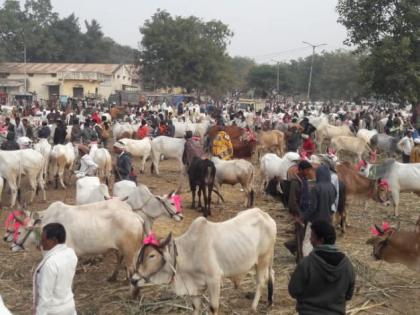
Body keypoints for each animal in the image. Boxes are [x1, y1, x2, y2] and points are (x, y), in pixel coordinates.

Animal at [130, 209, 278, 314]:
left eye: (152, 255)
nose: (133, 280)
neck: (190, 251)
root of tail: (266, 215)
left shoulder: (214, 280)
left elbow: (213, 308)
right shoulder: (195, 288)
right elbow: (195, 308)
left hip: (263, 258)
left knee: (260, 282)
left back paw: (253, 308)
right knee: (271, 273)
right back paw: (270, 301)